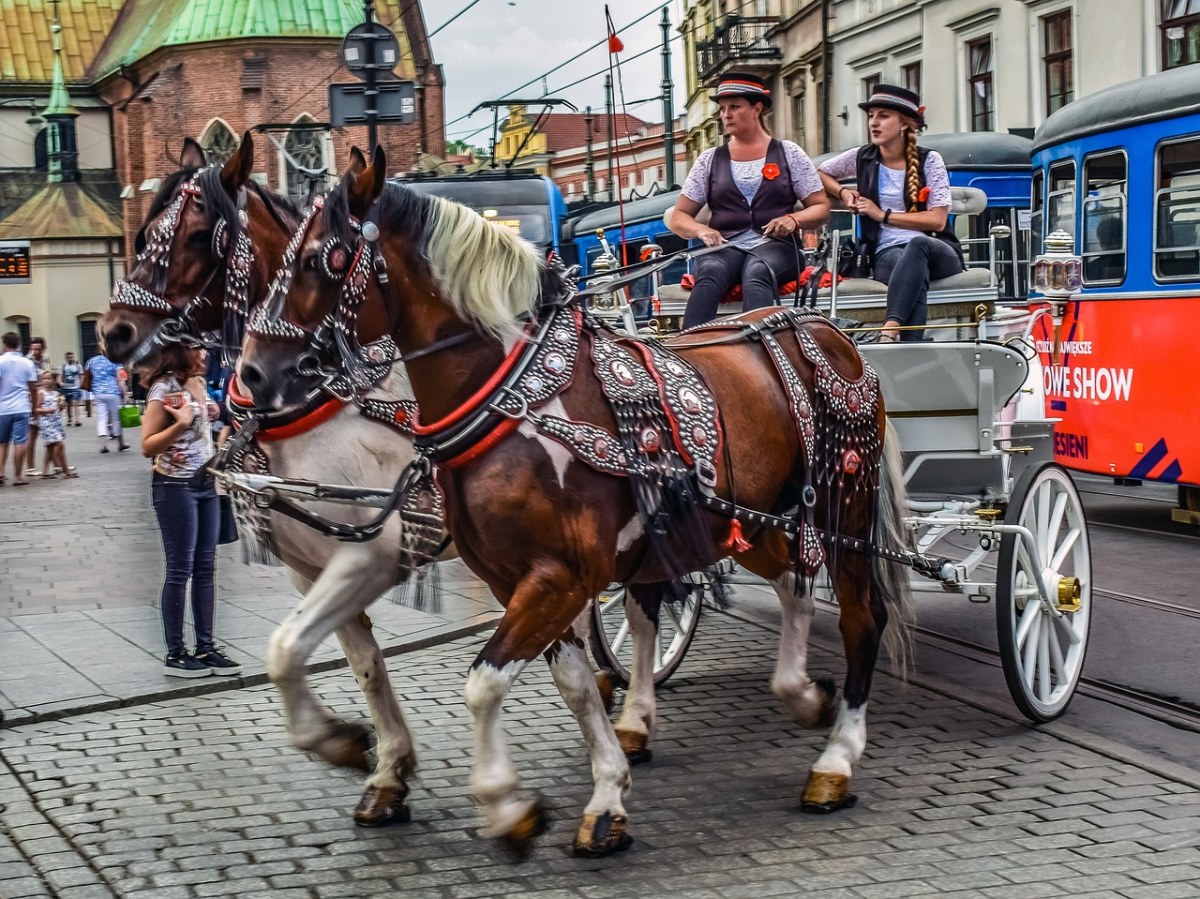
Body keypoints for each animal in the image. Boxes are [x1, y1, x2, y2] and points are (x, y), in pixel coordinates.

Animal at [238, 147, 912, 854]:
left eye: (324, 258)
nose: (252, 373)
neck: (511, 400)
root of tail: (828, 329)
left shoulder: (557, 575)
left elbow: (483, 682)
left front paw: (506, 802)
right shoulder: (515, 578)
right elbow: (573, 684)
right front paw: (606, 790)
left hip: (844, 504)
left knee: (861, 617)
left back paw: (836, 759)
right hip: (743, 519)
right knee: (790, 582)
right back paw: (801, 694)